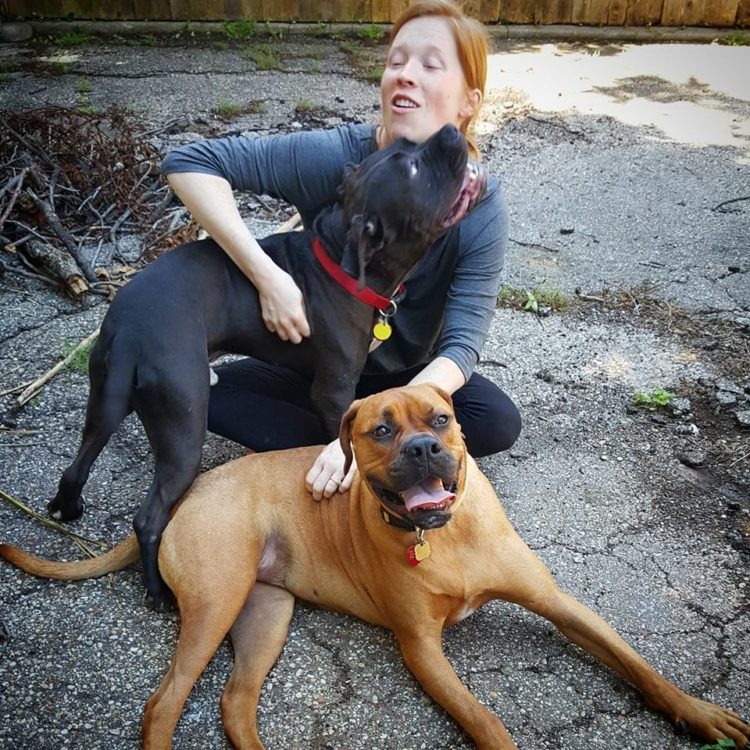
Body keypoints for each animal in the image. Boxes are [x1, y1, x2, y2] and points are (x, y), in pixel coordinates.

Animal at [2, 385, 747, 749]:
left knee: (234, 704)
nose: (421, 448)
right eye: (380, 431)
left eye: (440, 419)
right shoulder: (421, 648)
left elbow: (640, 665)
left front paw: (700, 714)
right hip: (216, 605)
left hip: (264, 616)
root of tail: (189, 490)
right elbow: (485, 721)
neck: (444, 536)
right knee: (163, 706)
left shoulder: (562, 605)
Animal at [45, 123, 483, 607]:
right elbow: (341, 439)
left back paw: (67, 509)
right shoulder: (333, 390)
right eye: (413, 168)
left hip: (106, 399)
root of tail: (130, 328)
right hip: (183, 428)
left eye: (408, 148)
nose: (450, 131)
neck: (345, 264)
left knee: (78, 462)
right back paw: (157, 591)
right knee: (149, 517)